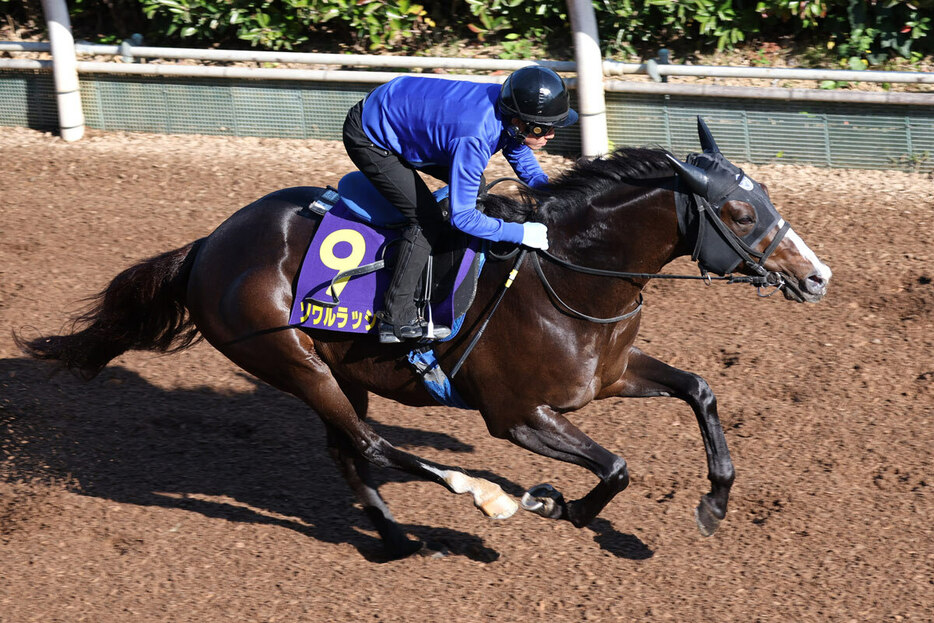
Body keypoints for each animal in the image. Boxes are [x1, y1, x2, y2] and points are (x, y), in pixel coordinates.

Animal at [16, 119, 832, 560]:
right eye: (740, 211)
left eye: (768, 198)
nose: (819, 276)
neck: (569, 274)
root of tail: (208, 245)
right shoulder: (517, 416)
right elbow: (618, 466)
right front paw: (554, 506)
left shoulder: (610, 372)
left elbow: (700, 390)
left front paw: (714, 503)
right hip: (288, 358)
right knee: (372, 447)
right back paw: (484, 501)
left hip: (334, 371)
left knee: (348, 451)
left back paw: (399, 538)